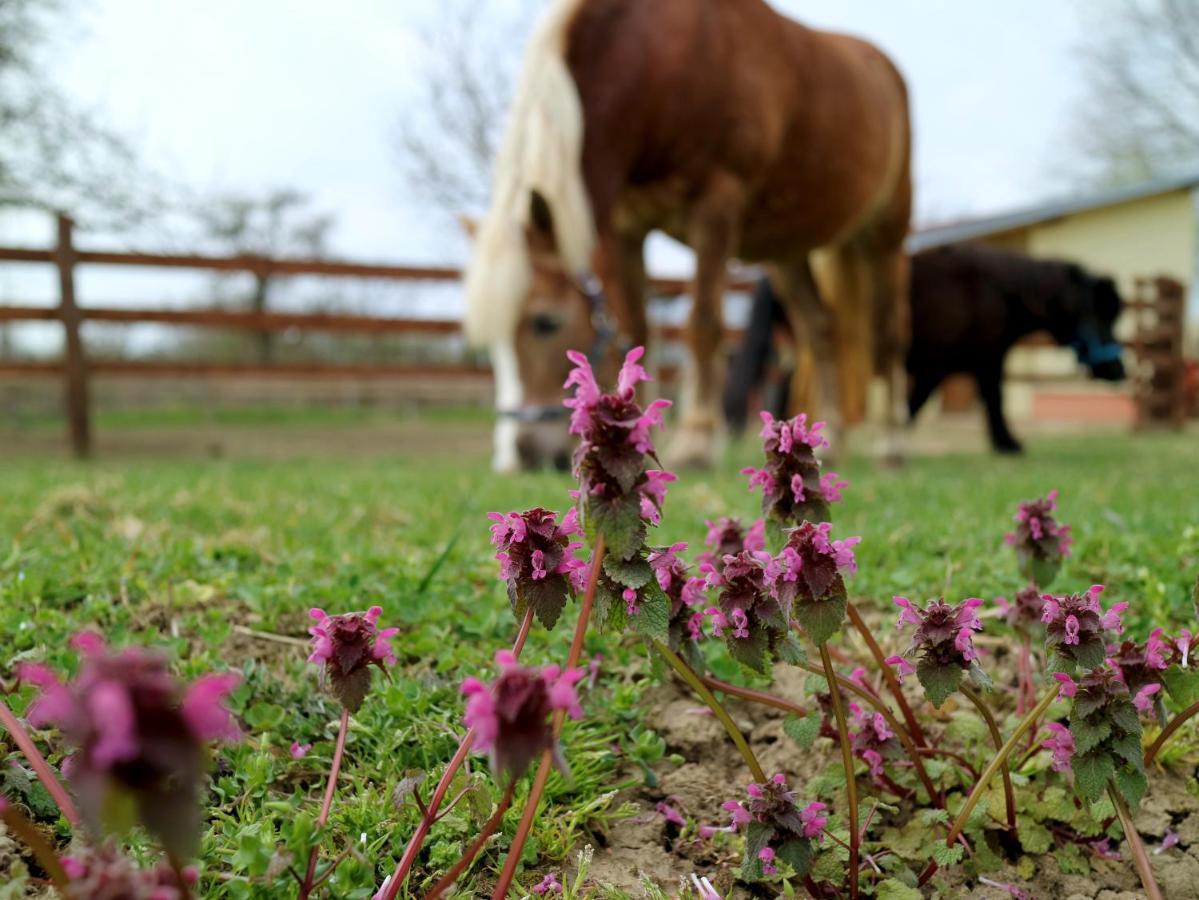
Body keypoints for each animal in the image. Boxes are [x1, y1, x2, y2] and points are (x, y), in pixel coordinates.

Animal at [465, 0, 906, 474]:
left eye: (546, 322)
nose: (518, 456)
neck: (661, 60)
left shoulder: (716, 205)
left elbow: (703, 324)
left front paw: (697, 440)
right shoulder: (627, 226)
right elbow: (636, 328)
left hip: (885, 237)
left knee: (885, 336)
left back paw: (890, 444)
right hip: (787, 254)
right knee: (822, 331)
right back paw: (829, 442)